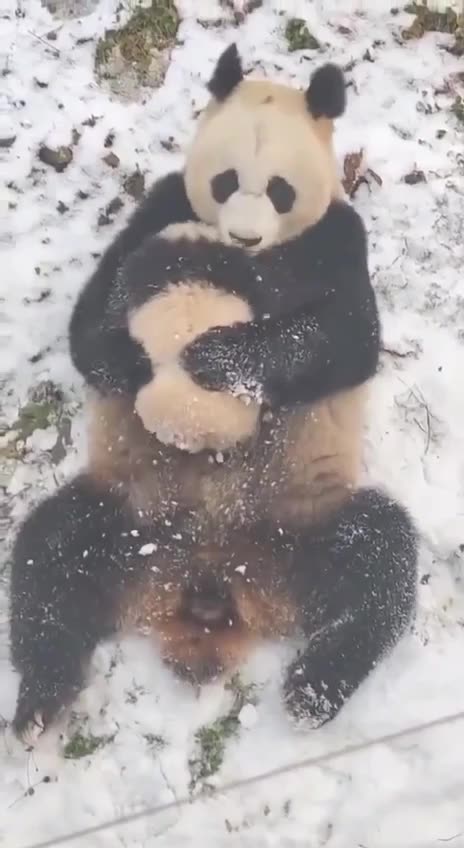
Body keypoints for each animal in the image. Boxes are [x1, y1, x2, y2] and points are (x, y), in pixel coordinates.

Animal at [9, 44, 418, 741]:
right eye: (227, 180)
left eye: (280, 189)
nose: (244, 238)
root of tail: (208, 586)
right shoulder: (160, 210)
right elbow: (94, 315)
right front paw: (137, 363)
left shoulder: (339, 236)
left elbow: (346, 337)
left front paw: (220, 357)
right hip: (131, 512)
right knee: (52, 556)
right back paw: (41, 699)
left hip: (299, 523)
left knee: (376, 560)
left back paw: (314, 690)